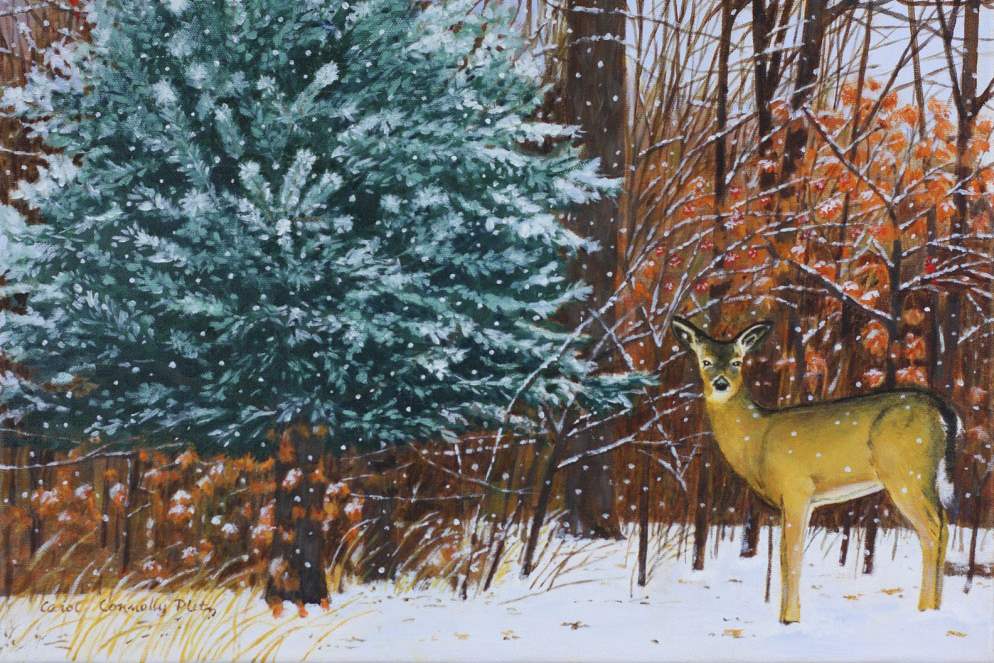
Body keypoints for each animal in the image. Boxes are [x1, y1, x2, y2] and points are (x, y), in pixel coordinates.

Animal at [670, 316, 960, 624]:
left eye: (738, 361)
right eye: (705, 361)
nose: (721, 383)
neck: (756, 437)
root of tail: (943, 411)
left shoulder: (796, 487)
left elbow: (792, 553)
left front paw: (790, 619)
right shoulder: (800, 501)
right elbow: (786, 555)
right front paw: (786, 617)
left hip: (906, 472)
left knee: (933, 529)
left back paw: (925, 609)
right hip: (920, 476)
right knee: (942, 526)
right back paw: (935, 607)